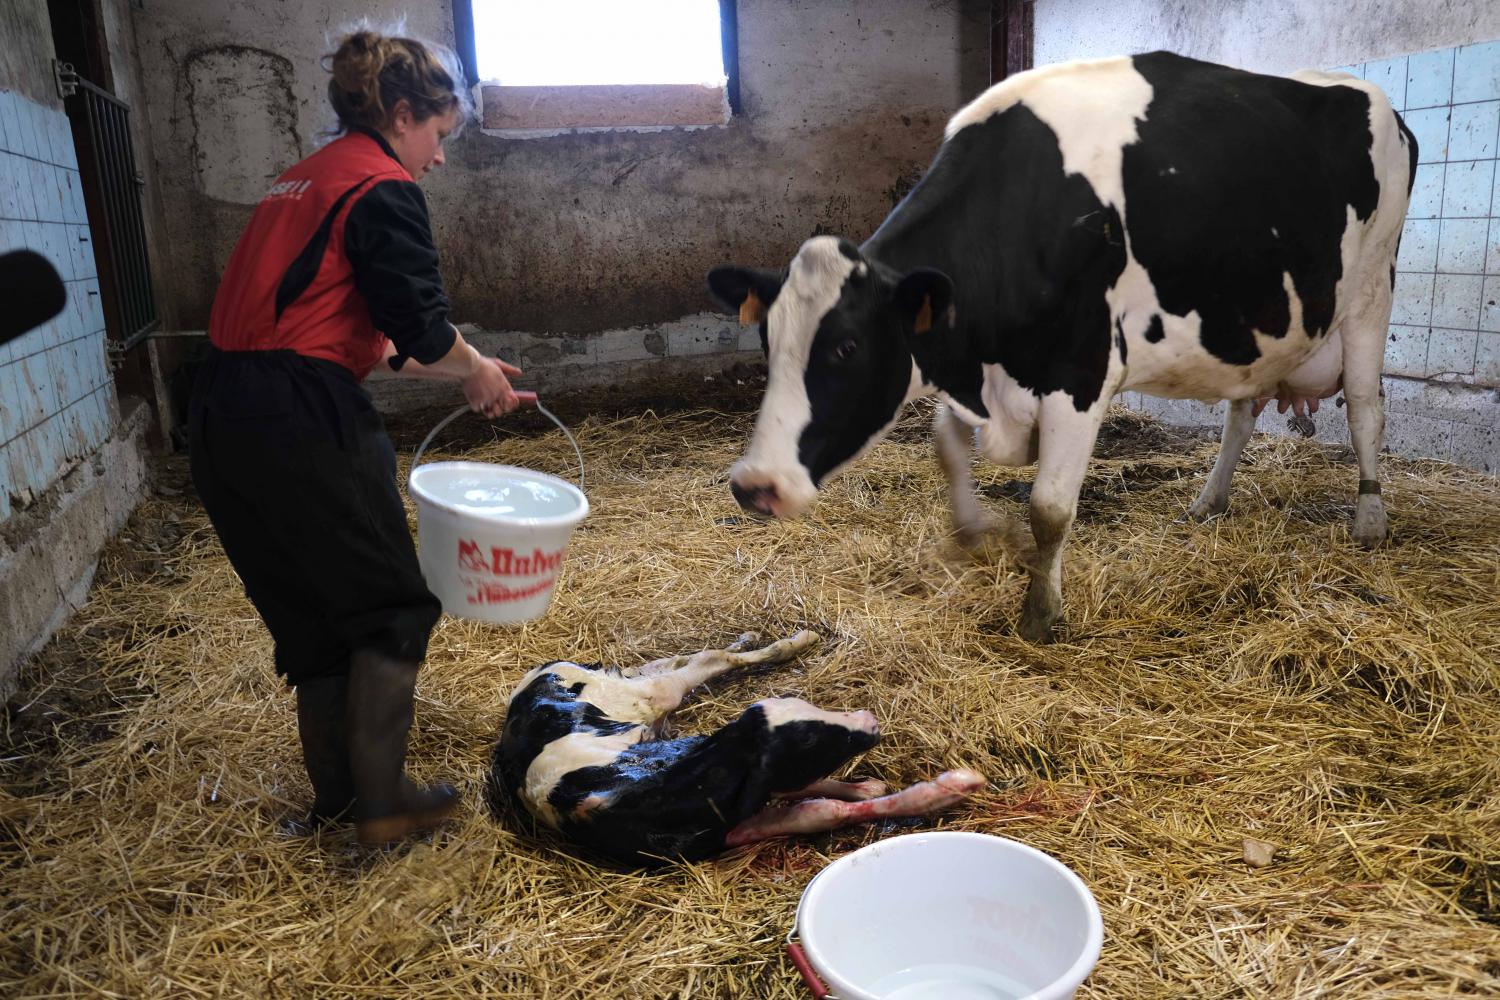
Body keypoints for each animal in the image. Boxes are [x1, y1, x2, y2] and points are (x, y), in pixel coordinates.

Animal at [489, 632, 984, 869]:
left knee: (684, 662)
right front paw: (941, 789)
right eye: (807, 740)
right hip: (645, 695)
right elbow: (815, 809)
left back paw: (781, 641)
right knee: (693, 662)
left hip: (642, 693)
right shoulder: (728, 822)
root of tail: (542, 672)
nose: (868, 721)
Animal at [708, 50, 1410, 641]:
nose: (753, 485)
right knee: (1243, 411)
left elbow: (1048, 508)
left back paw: (1370, 519)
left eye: (847, 349)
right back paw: (1209, 501)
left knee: (1366, 410)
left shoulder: (1081, 374)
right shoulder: (976, 370)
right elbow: (946, 449)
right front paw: (972, 531)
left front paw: (1040, 611)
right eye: (768, 339)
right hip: (1255, 332)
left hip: (1370, 293)